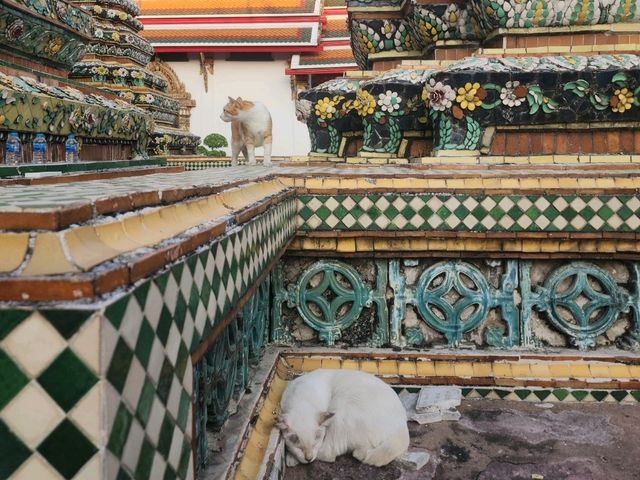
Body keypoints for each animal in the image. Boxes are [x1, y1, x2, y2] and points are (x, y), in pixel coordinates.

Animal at [276, 370, 410, 466]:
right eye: (299, 446)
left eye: (314, 444)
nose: (308, 458)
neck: (302, 399)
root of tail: (402, 424)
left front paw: (292, 457)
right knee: (361, 452)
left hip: (339, 408)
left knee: (330, 454)